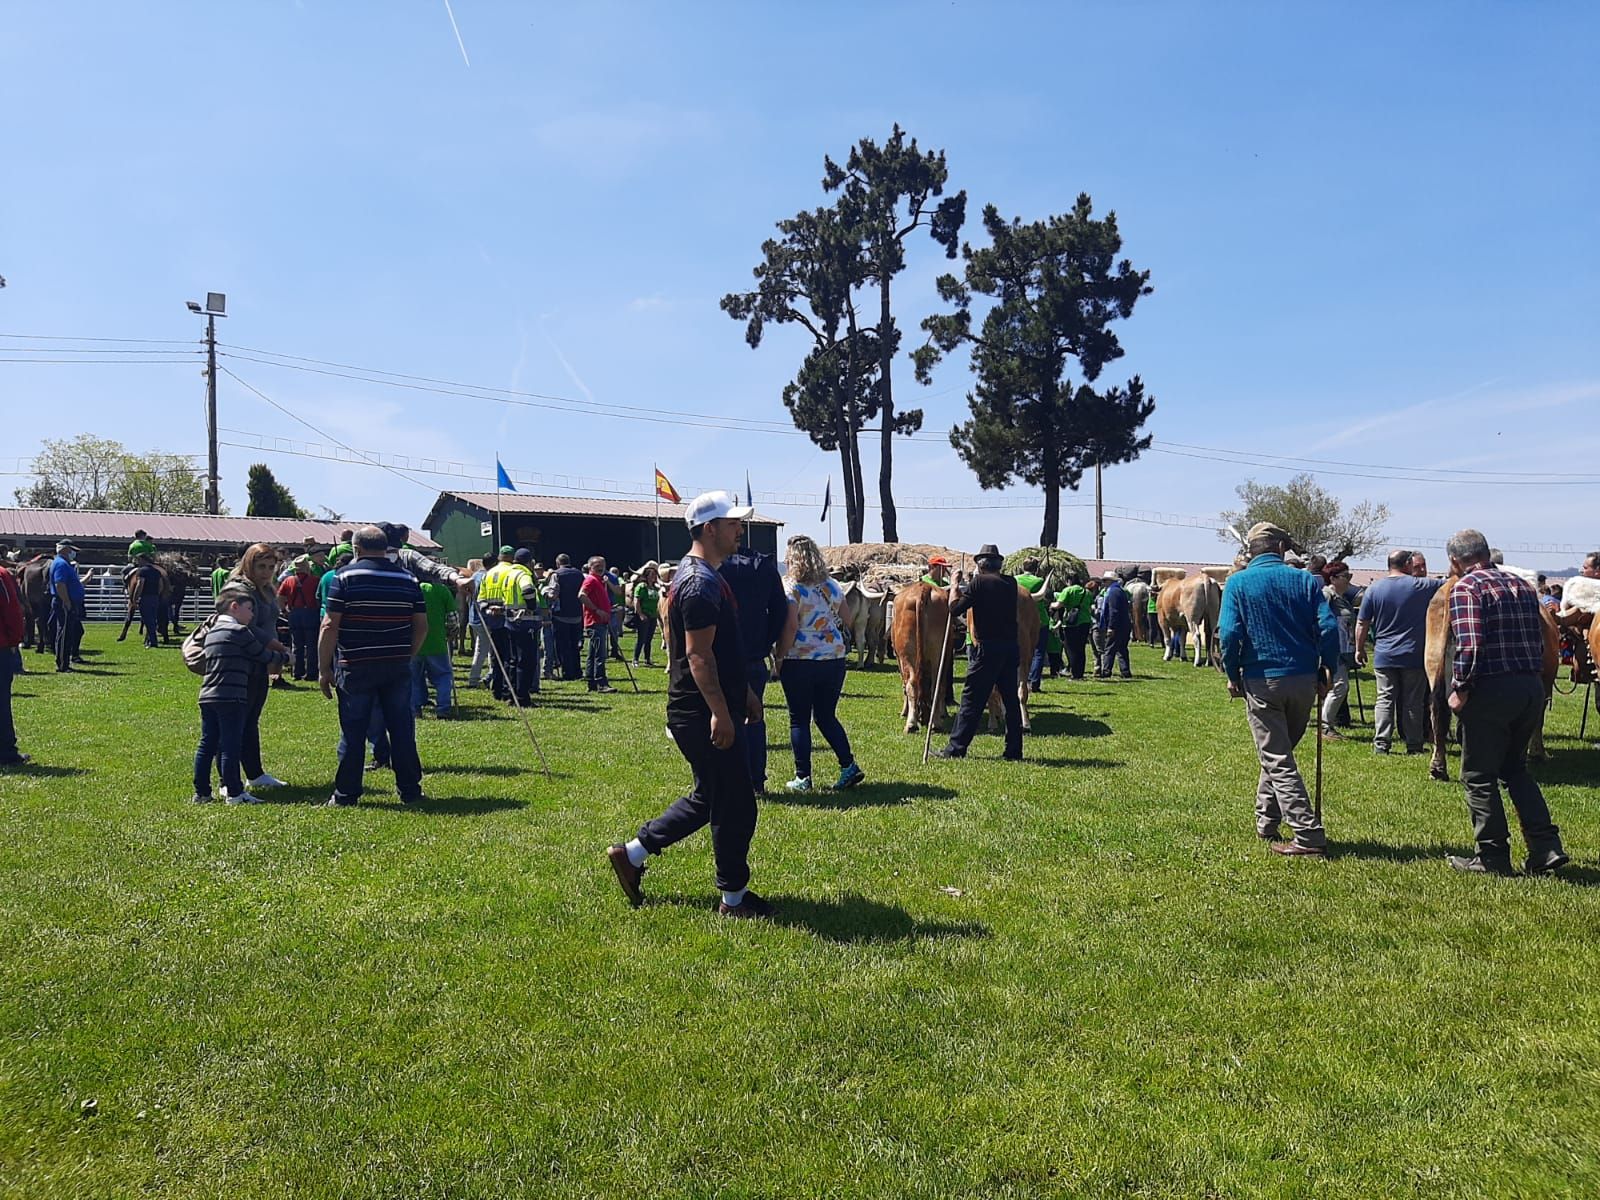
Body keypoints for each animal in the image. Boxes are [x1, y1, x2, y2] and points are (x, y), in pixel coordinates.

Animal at [889, 582, 947, 732]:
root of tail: (923, 587)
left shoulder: (898, 658)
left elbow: (904, 685)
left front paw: (904, 712)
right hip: (938, 652)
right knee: (936, 685)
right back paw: (936, 723)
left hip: (907, 654)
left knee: (911, 683)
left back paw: (911, 723)